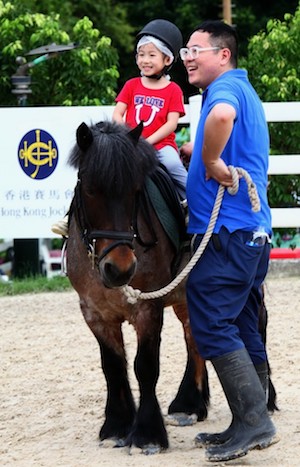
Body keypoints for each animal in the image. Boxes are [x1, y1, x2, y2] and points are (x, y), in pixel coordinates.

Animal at [65, 119, 276, 456]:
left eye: (135, 191)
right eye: (89, 189)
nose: (120, 268)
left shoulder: (148, 310)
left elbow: (145, 367)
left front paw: (147, 435)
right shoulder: (95, 313)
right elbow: (113, 366)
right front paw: (116, 426)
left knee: (257, 327)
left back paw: (265, 399)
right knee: (194, 336)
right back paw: (189, 403)